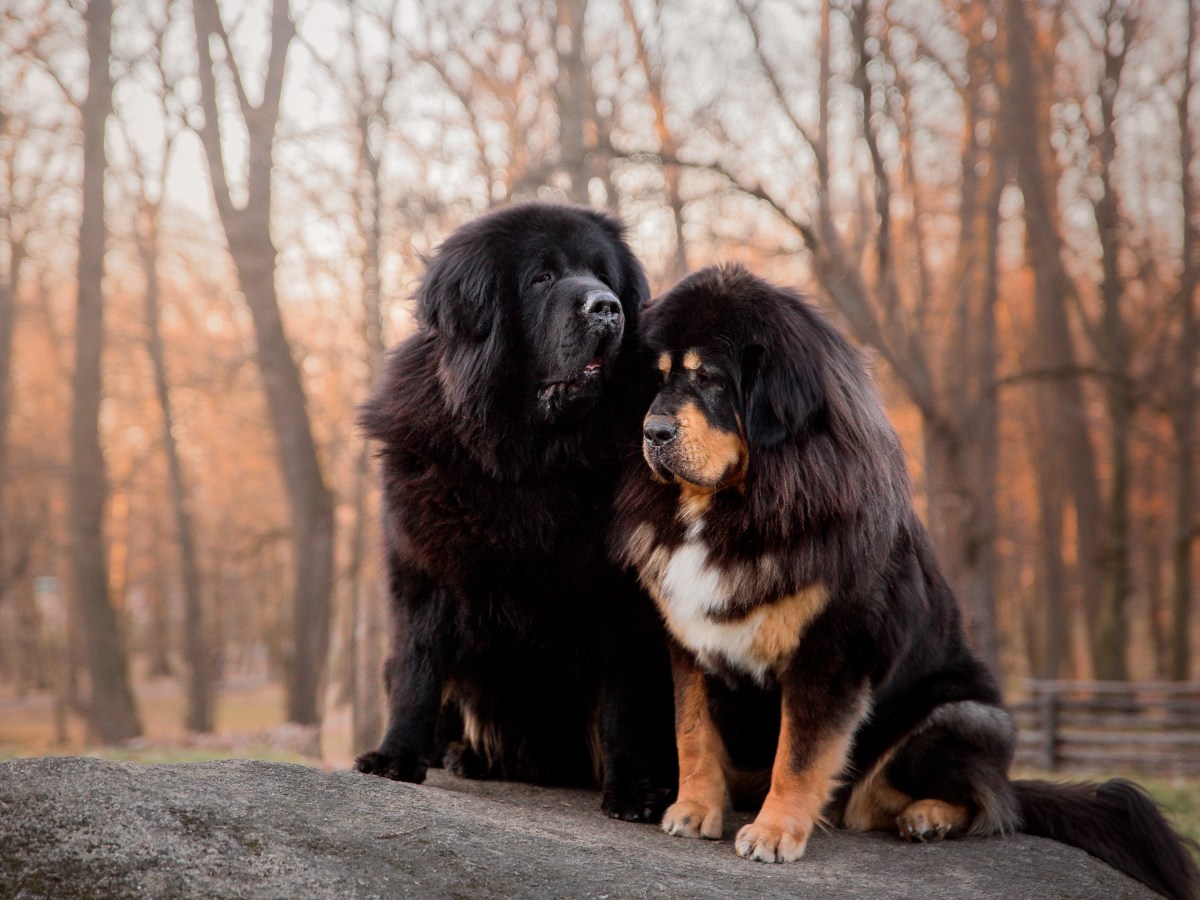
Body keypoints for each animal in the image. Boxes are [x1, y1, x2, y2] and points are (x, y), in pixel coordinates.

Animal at [352, 204, 676, 825]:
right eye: (542, 278)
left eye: (604, 275)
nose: (607, 307)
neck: (530, 458)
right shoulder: (424, 567)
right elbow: (418, 669)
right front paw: (396, 757)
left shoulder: (624, 597)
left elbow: (623, 701)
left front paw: (631, 790)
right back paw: (459, 755)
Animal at [619, 264, 1200, 897]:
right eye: (659, 378)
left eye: (711, 379)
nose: (652, 430)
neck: (741, 505)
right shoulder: (688, 639)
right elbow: (693, 733)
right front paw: (695, 809)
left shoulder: (831, 650)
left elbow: (798, 754)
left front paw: (774, 833)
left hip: (959, 717)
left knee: (987, 802)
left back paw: (930, 817)